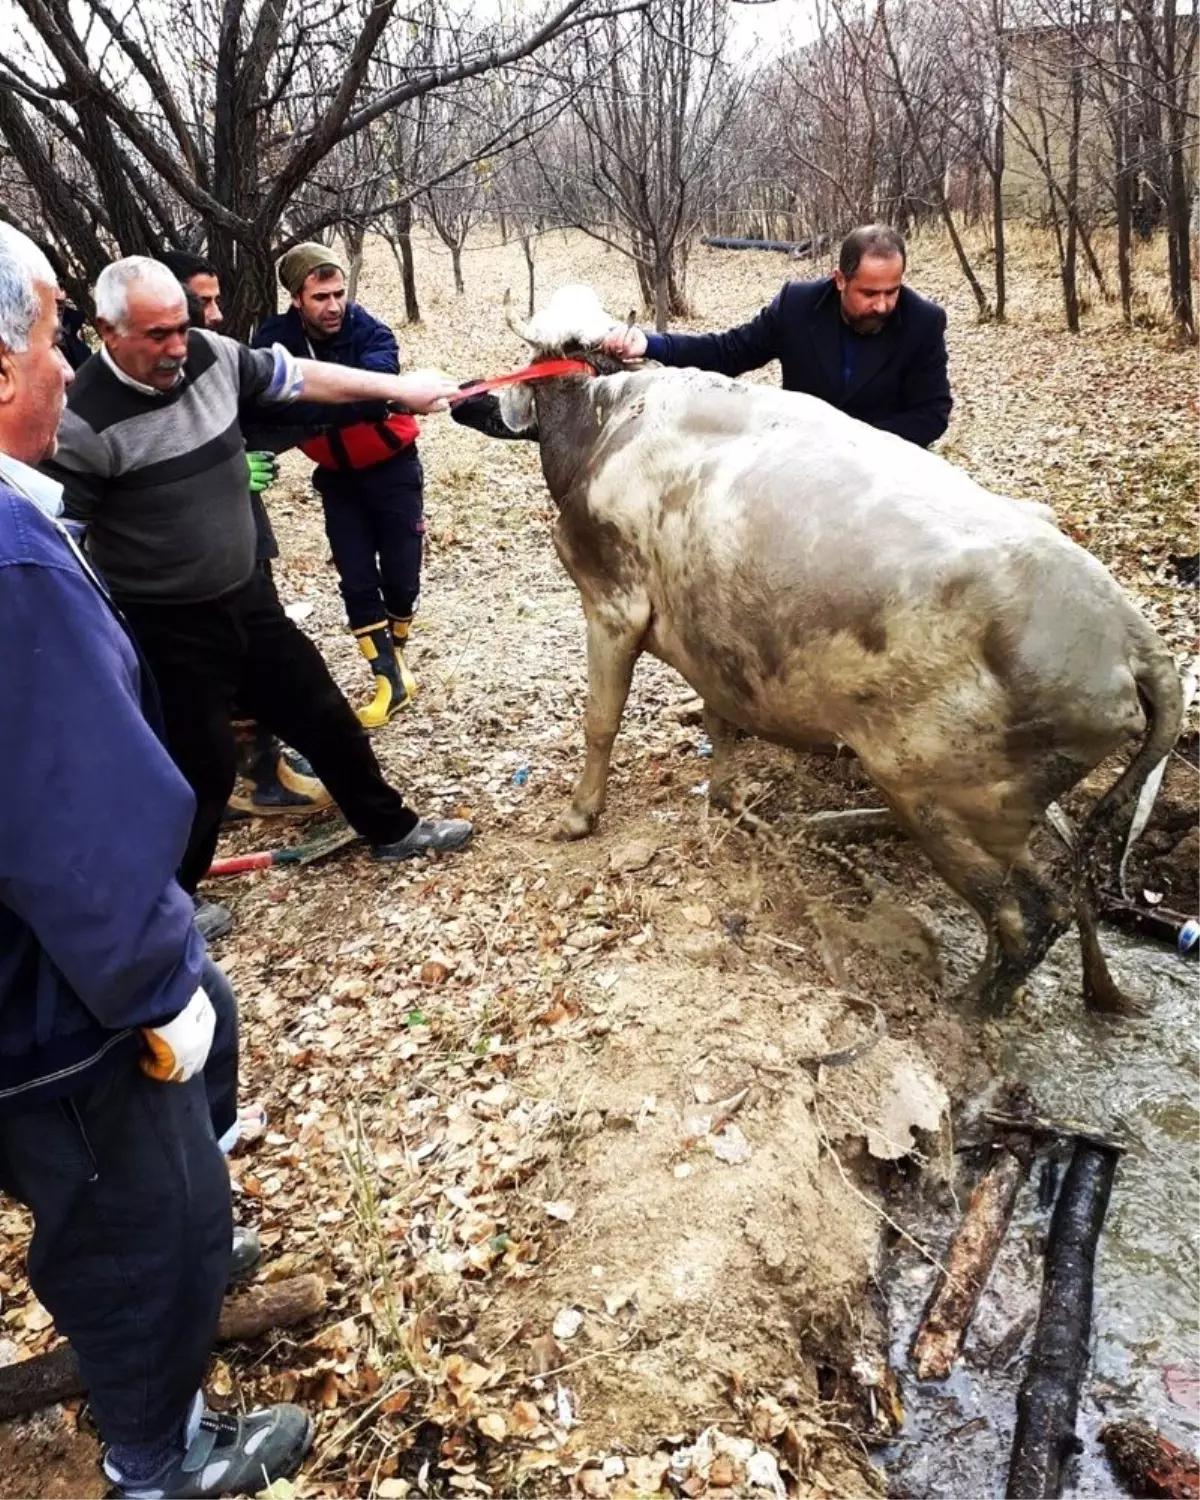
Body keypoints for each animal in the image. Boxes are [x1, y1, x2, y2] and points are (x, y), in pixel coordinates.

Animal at [456, 286, 1188, 1014]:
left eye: (523, 370)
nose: (464, 394)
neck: (607, 422)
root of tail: (1130, 635)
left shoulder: (611, 603)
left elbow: (600, 721)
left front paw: (578, 816)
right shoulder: (711, 640)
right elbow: (720, 721)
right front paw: (727, 800)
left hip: (942, 799)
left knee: (1027, 914)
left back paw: (963, 1010)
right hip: (1002, 803)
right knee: (1073, 880)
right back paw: (1092, 988)